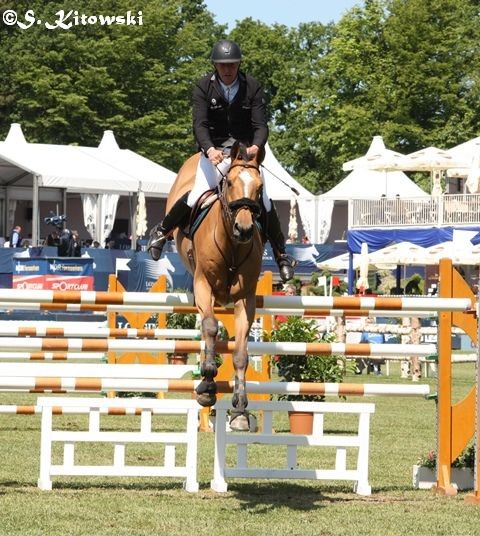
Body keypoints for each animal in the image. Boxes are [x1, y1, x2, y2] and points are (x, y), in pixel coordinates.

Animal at [168, 142, 266, 432]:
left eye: (259, 187)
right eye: (230, 182)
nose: (244, 229)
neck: (232, 245)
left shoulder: (246, 299)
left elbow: (241, 353)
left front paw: (240, 410)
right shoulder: (203, 285)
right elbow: (210, 327)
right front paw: (207, 384)